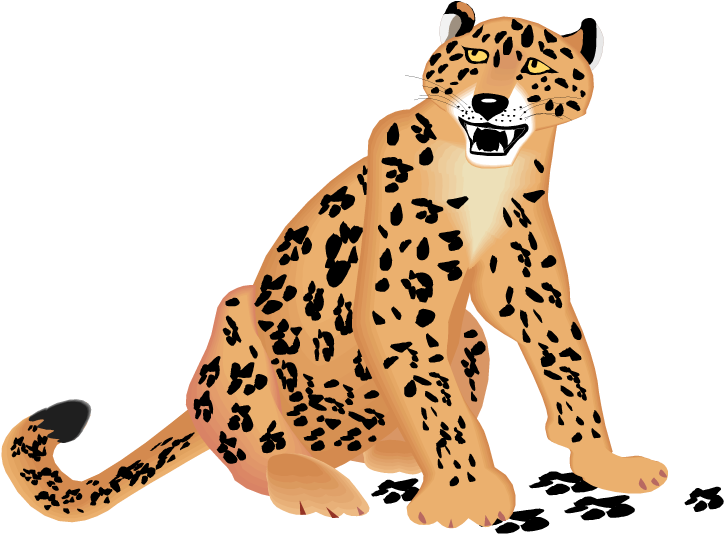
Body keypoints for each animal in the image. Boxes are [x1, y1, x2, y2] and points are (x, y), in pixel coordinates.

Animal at [2, 5, 669, 527]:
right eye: (475, 57)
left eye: (535, 67)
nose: (489, 100)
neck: (486, 179)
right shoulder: (400, 302)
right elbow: (434, 401)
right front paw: (468, 495)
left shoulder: (530, 287)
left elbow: (567, 363)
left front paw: (605, 462)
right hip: (236, 331)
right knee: (255, 451)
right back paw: (318, 485)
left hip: (469, 338)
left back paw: (392, 455)